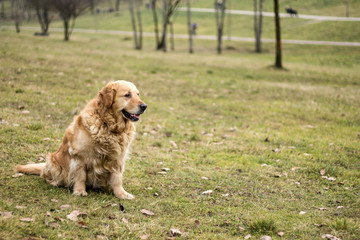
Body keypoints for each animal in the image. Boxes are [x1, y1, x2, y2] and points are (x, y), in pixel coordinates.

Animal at [14, 80, 146, 199]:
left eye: (138, 94)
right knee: (46, 175)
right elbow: (80, 176)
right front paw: (80, 191)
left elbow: (117, 178)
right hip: (53, 161)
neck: (107, 124)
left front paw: (121, 194)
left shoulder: (118, 158)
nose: (144, 106)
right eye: (127, 95)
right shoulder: (79, 156)